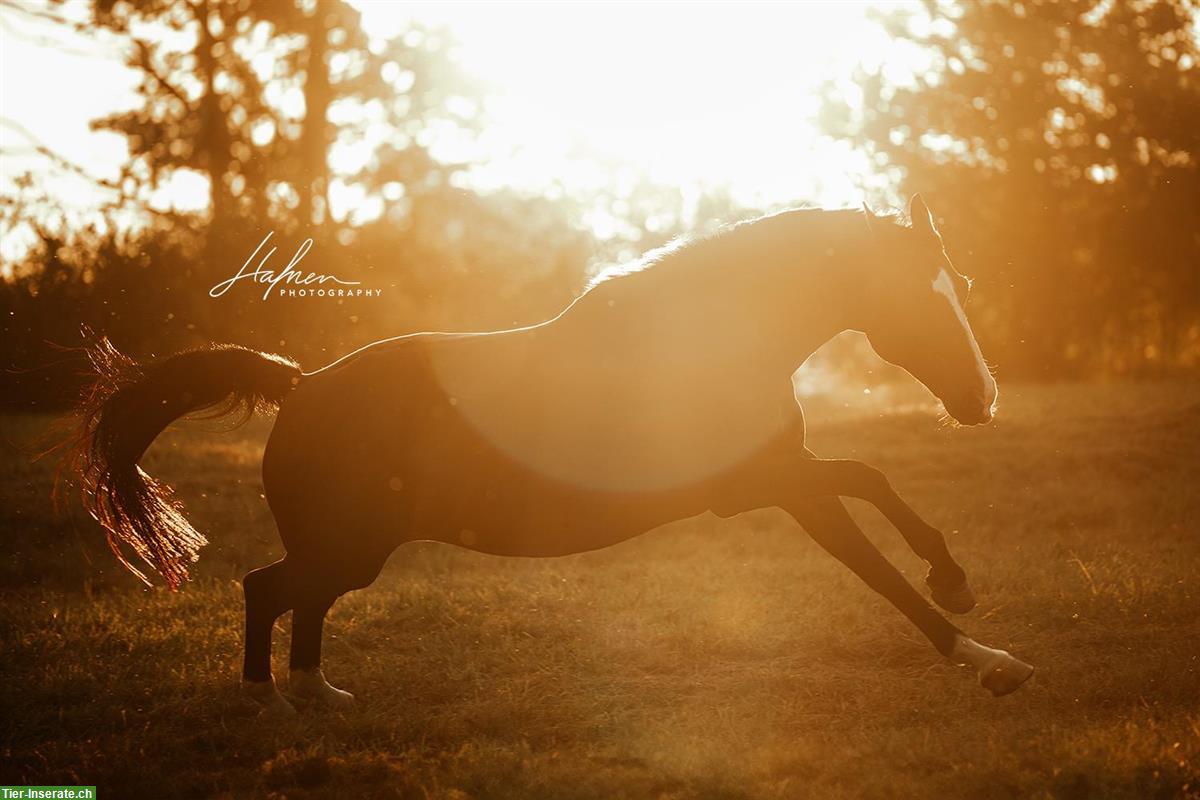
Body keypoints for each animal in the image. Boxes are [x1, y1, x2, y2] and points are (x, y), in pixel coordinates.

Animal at [68, 195, 1032, 719]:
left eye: (960, 285)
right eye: (918, 293)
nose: (982, 399)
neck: (709, 341)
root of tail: (299, 384)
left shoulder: (765, 481)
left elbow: (873, 484)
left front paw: (957, 582)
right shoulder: (773, 485)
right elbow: (878, 566)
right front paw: (986, 659)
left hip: (348, 552)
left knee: (292, 598)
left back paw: (313, 694)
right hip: (349, 548)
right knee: (265, 589)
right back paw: (270, 697)